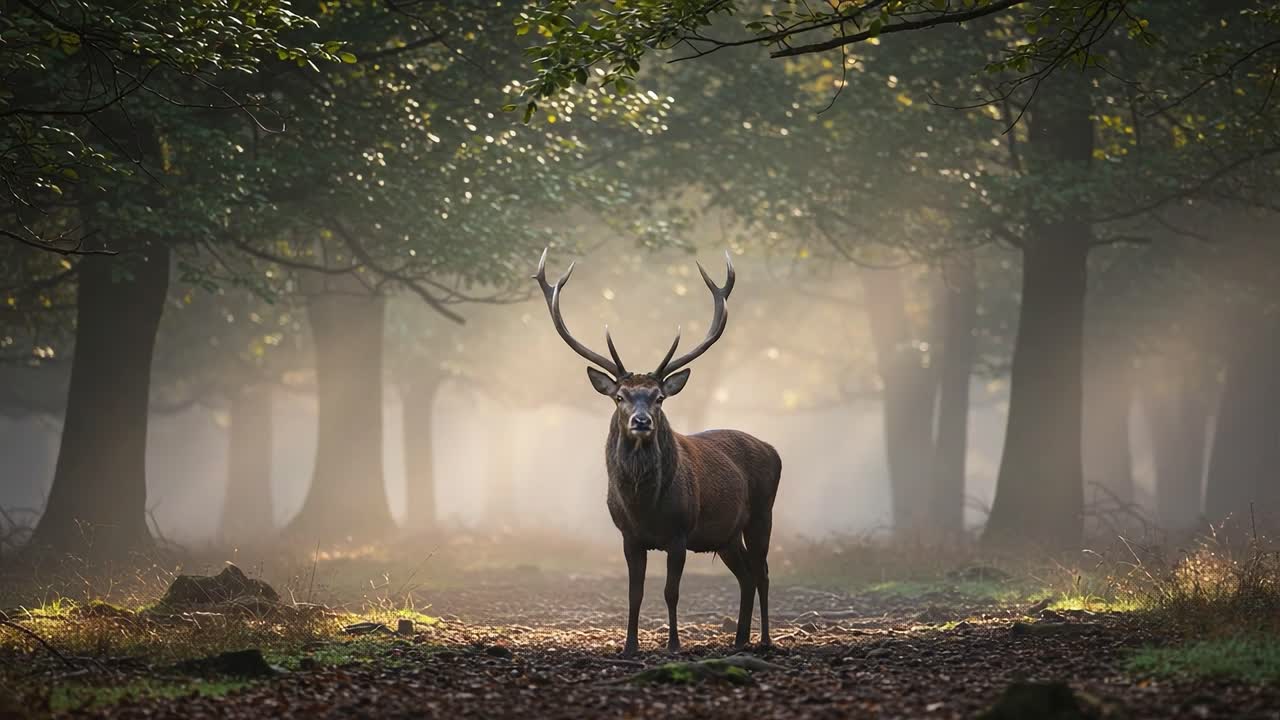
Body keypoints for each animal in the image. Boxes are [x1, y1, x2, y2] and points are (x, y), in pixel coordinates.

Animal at [534, 248, 782, 657]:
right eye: (620, 396)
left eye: (659, 397)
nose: (641, 421)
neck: (643, 506)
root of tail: (773, 449)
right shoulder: (628, 536)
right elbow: (634, 594)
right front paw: (630, 646)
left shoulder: (680, 533)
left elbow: (670, 592)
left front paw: (674, 645)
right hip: (726, 535)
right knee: (746, 575)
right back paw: (739, 640)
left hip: (762, 512)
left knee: (762, 572)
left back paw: (763, 640)